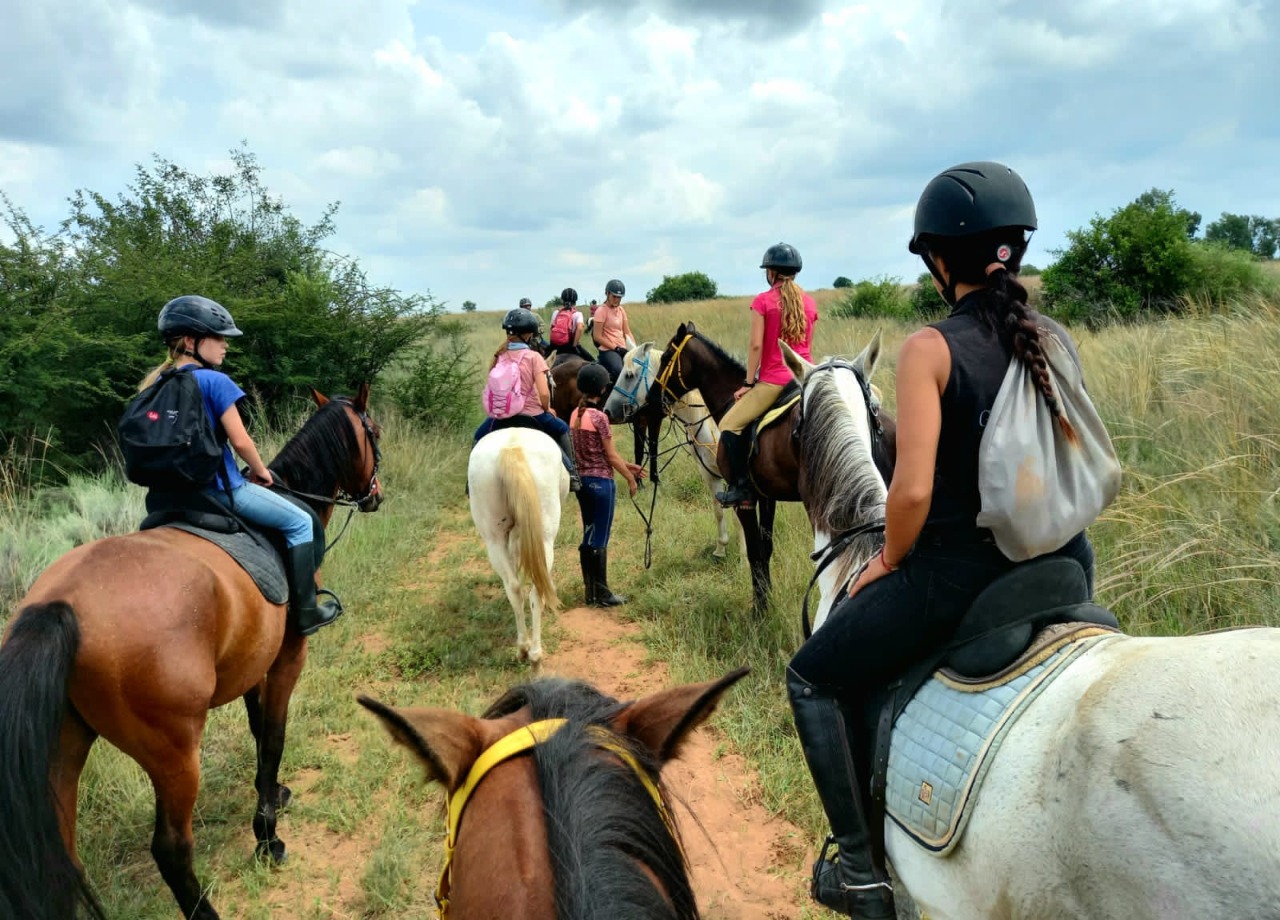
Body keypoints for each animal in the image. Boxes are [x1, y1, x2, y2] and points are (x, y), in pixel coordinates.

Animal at [0, 383, 381, 920]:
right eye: (374, 433)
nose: (375, 495)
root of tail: (60, 606)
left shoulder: (251, 662)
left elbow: (258, 729)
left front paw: (272, 795)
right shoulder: (288, 655)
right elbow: (274, 734)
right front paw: (267, 838)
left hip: (64, 747)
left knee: (64, 859)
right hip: (174, 753)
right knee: (171, 848)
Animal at [465, 427, 565, 665]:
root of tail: (512, 448)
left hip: (494, 538)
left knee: (514, 587)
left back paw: (524, 648)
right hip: (545, 534)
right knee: (536, 589)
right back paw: (534, 652)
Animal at [606, 348, 747, 557]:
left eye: (629, 375)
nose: (607, 410)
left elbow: (739, 518)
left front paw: (745, 555)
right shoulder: (709, 474)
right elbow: (718, 510)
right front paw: (721, 549)